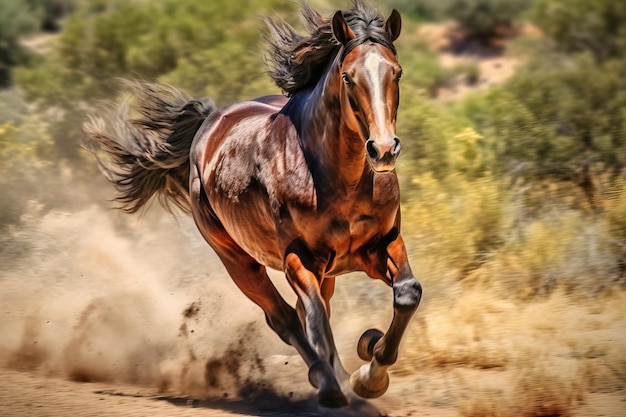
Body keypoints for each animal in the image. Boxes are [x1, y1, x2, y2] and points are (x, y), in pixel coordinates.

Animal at [85, 0, 420, 408]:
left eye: (397, 73)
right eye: (347, 77)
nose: (383, 150)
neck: (334, 176)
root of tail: (210, 121)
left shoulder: (382, 244)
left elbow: (407, 294)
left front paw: (370, 373)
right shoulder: (298, 259)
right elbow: (313, 320)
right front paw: (344, 383)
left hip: (323, 270)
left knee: (308, 312)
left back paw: (341, 376)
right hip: (239, 262)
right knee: (286, 318)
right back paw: (325, 379)